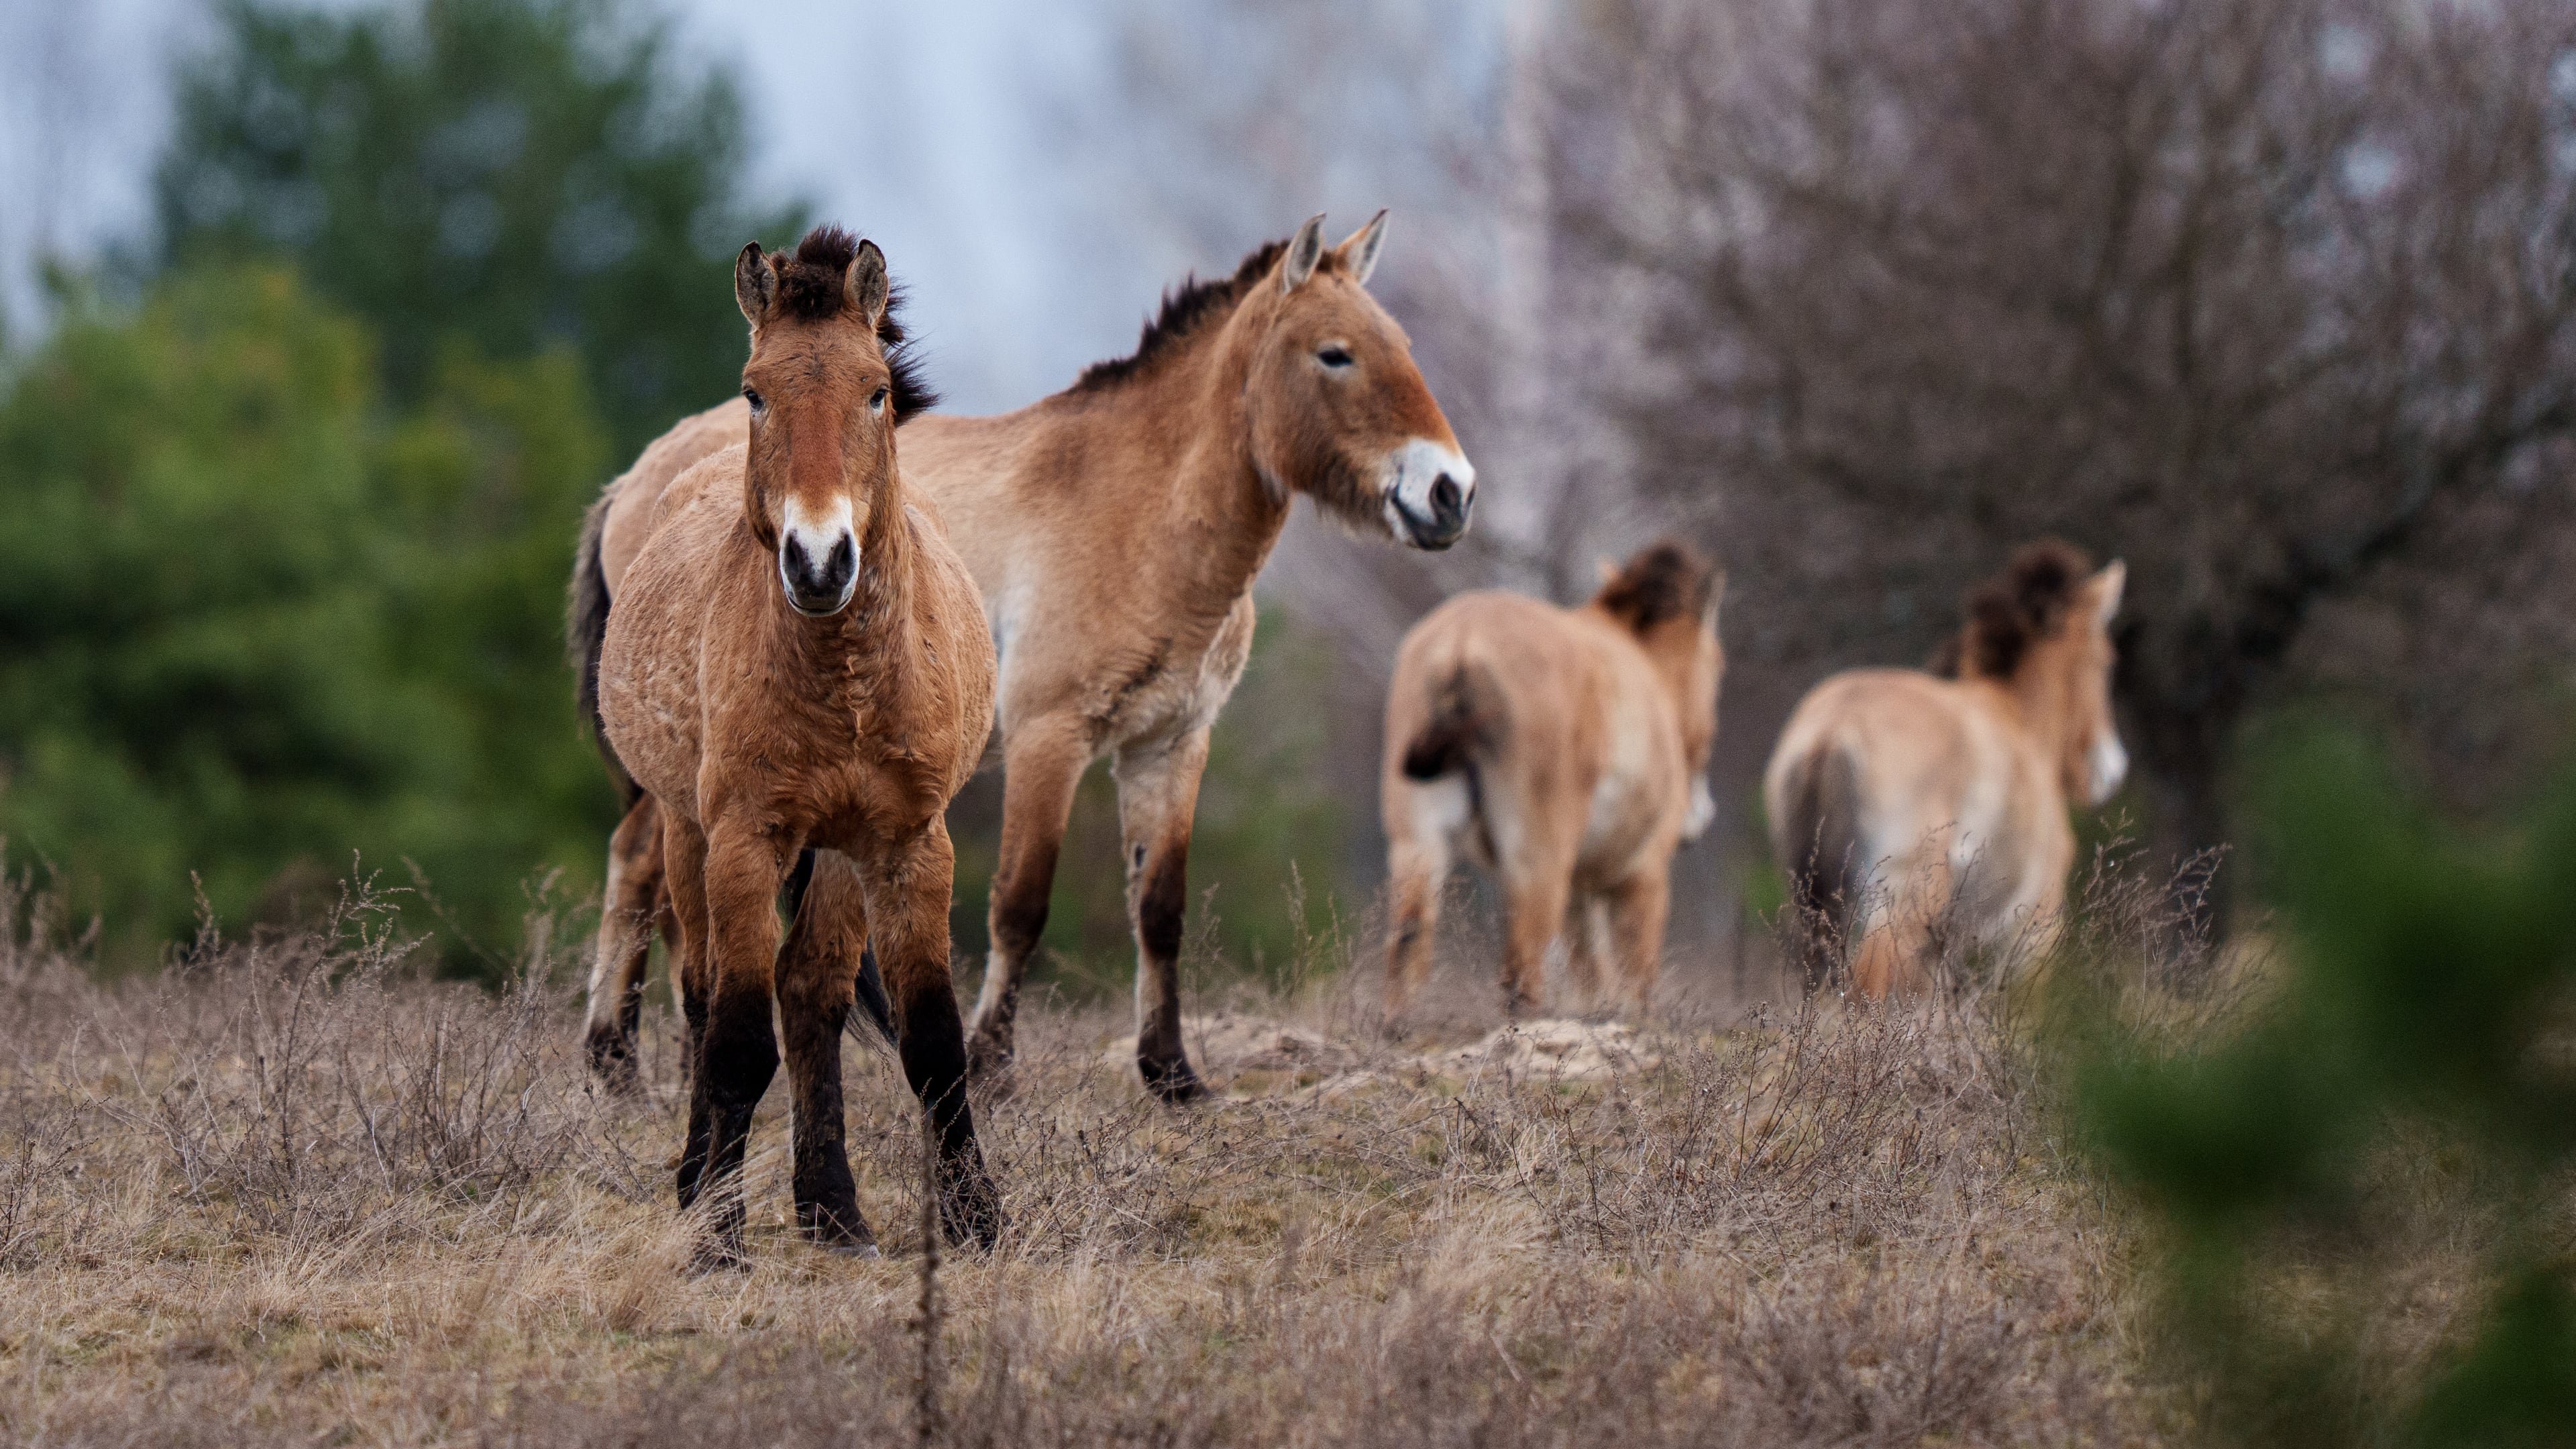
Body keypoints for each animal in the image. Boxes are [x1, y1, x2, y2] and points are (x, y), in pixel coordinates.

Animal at [574, 211, 1475, 1102]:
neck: (1135, 512)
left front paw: (1172, 1074)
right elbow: (1021, 903)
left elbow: (1161, 908)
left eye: (1398, 343)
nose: (1450, 493)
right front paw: (992, 1065)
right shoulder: (1051, 737)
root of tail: (634, 478)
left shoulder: (1171, 742)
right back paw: (620, 1067)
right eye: (1335, 354)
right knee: (641, 864)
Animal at [591, 225, 999, 1259]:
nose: (819, 561)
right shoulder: (745, 839)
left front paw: (978, 1218)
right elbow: (736, 1038)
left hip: (839, 858)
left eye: (876, 390)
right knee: (704, 993)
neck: (842, 680)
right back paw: (703, 1185)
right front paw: (717, 1236)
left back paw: (833, 1211)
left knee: (810, 991)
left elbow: (933, 1041)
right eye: (755, 391)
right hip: (690, 835)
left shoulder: (906, 843)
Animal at [1380, 541, 1723, 1020]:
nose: (1703, 814)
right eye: (1718, 664)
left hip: (1417, 844)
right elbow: (1635, 977)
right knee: (1521, 969)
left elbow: (1590, 971)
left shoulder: (1582, 889)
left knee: (1408, 938)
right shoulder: (1644, 872)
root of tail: (1463, 643)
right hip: (1538, 861)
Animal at [1764, 539, 2127, 999]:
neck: (2017, 719)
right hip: (1896, 904)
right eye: (2106, 661)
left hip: (1816, 908)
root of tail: (1833, 729)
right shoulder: (2034, 928)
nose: (2110, 769)